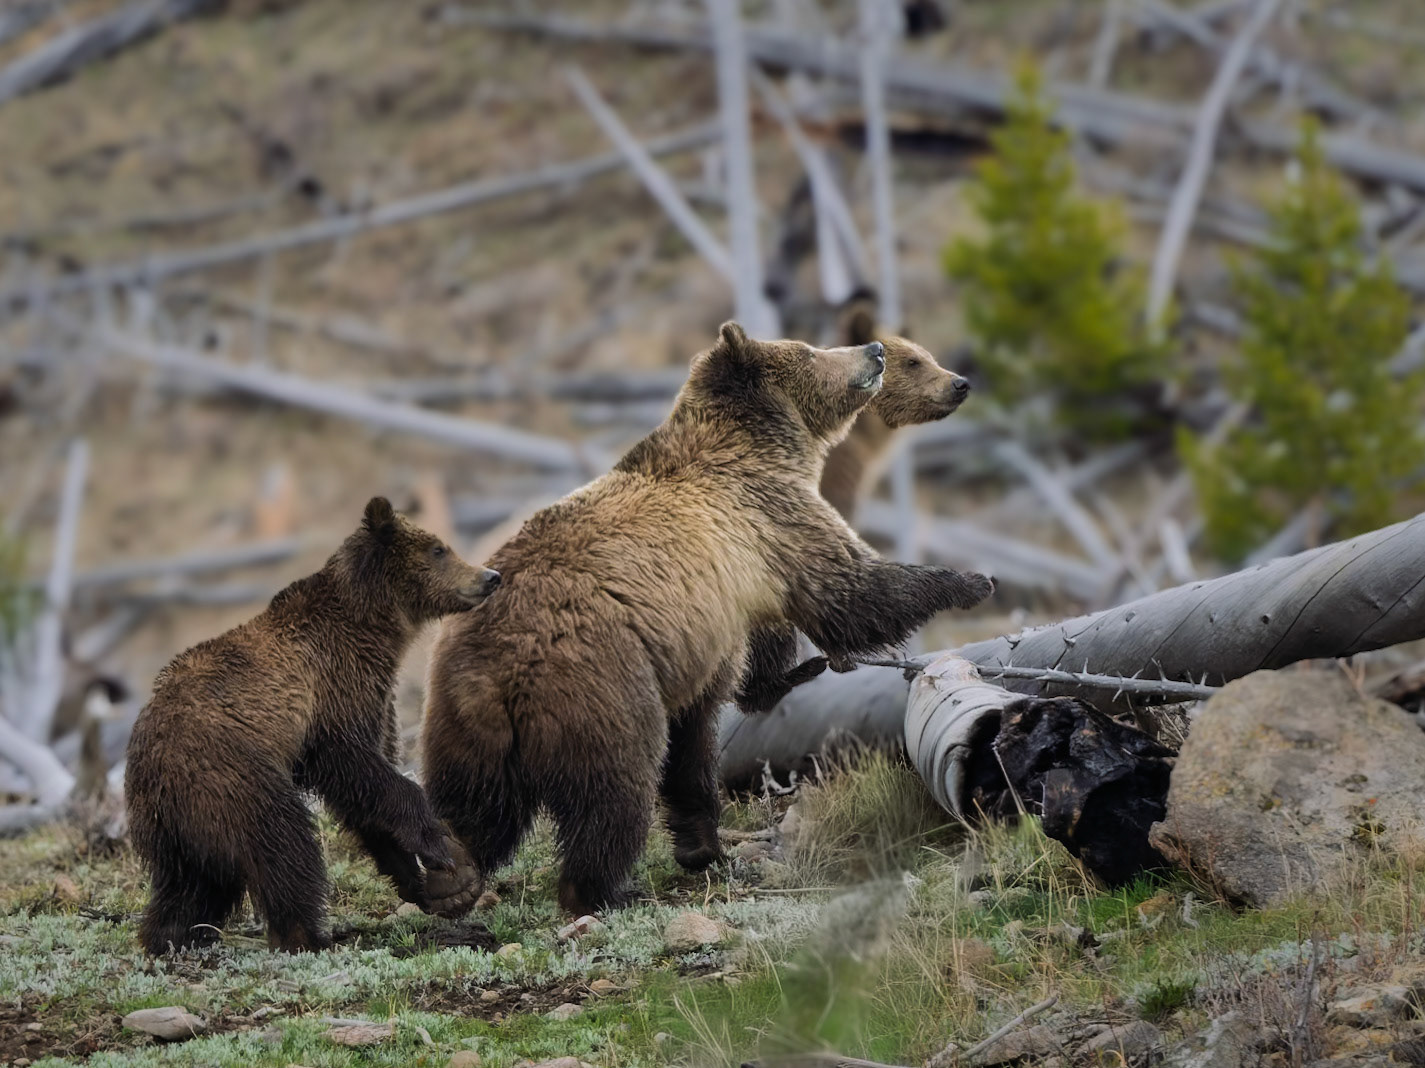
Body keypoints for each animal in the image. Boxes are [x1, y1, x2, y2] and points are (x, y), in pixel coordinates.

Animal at [125, 498, 501, 954]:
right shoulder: (334, 692)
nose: (490, 576)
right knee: (282, 844)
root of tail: (148, 765)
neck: (372, 627)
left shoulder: (372, 700)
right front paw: (439, 848)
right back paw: (309, 935)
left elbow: (364, 794)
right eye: (439, 549)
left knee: (189, 884)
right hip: (228, 776)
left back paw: (173, 935)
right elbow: (359, 768)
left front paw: (420, 880)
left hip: (171, 826)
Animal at [421, 322, 993, 916]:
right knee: (613, 793)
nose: (876, 350)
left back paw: (452, 879)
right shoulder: (769, 518)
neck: (762, 445)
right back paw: (604, 889)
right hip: (597, 691)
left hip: (464, 723)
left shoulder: (719, 614)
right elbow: (848, 591)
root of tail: (500, 669)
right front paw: (968, 581)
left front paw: (702, 843)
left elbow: (703, 734)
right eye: (810, 351)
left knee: (471, 809)